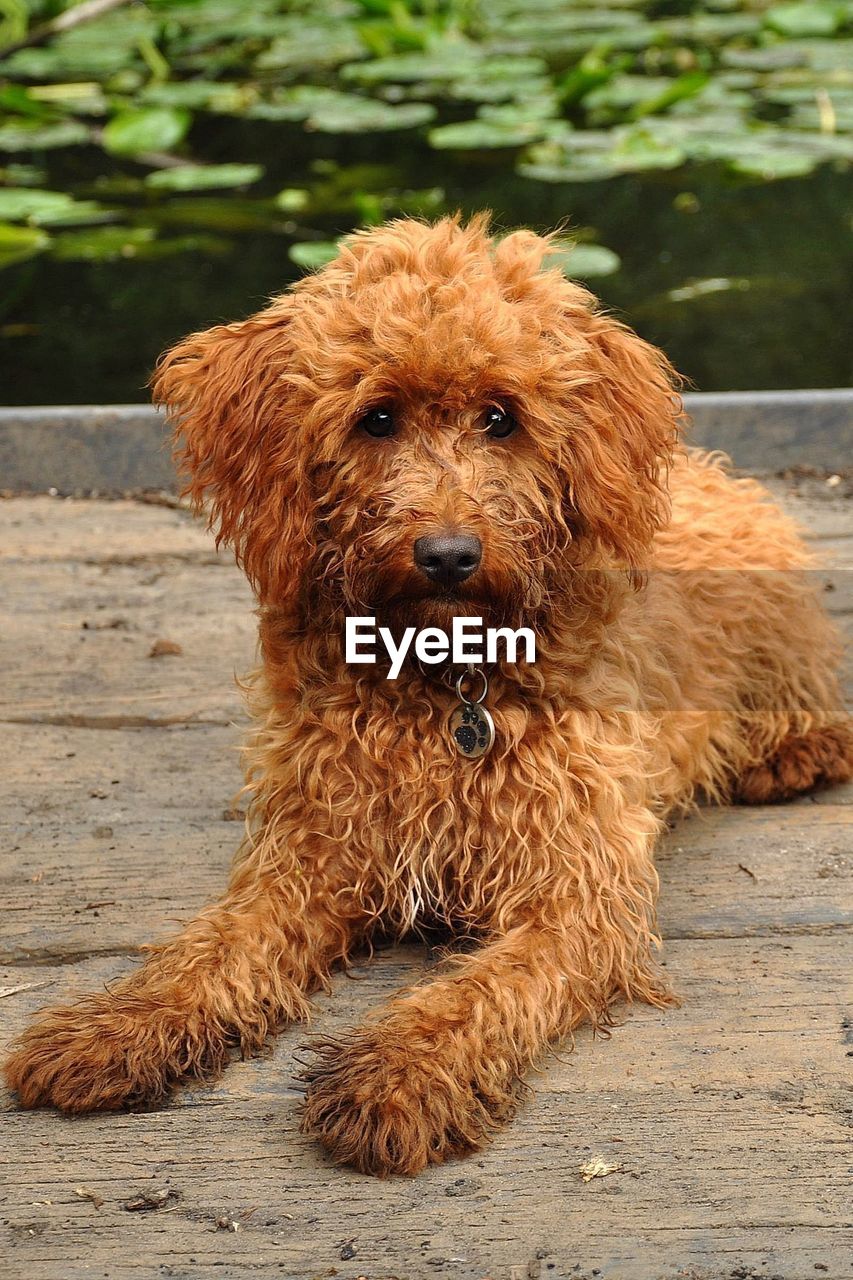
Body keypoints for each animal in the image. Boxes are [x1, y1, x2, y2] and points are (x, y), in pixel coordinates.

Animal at [3, 215, 845, 1172]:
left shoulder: (574, 892)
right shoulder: (308, 859)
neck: (444, 685)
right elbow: (212, 952)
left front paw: (398, 1075)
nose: (448, 555)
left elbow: (481, 991)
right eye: (376, 418)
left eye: (500, 417)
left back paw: (793, 752)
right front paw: (117, 1026)